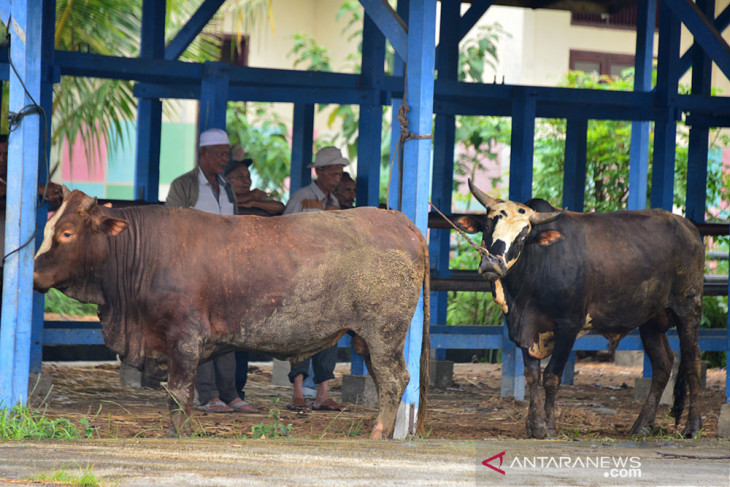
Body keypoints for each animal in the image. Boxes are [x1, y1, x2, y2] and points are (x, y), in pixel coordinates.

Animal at [34, 190, 430, 438]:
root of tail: (401, 221)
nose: (34, 274)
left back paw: (379, 432)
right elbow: (184, 394)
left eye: (66, 233)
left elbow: (178, 392)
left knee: (394, 378)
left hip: (384, 333)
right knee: (385, 380)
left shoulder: (184, 337)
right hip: (368, 338)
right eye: (48, 229)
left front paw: (176, 434)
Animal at [458, 181, 704, 440]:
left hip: (688, 309)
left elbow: (551, 377)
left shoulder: (568, 326)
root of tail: (687, 226)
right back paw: (641, 425)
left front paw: (550, 426)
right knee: (663, 364)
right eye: (487, 226)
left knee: (692, 361)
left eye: (523, 236)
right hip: (651, 321)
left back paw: (692, 427)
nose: (491, 264)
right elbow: (532, 376)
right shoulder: (527, 329)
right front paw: (535, 424)